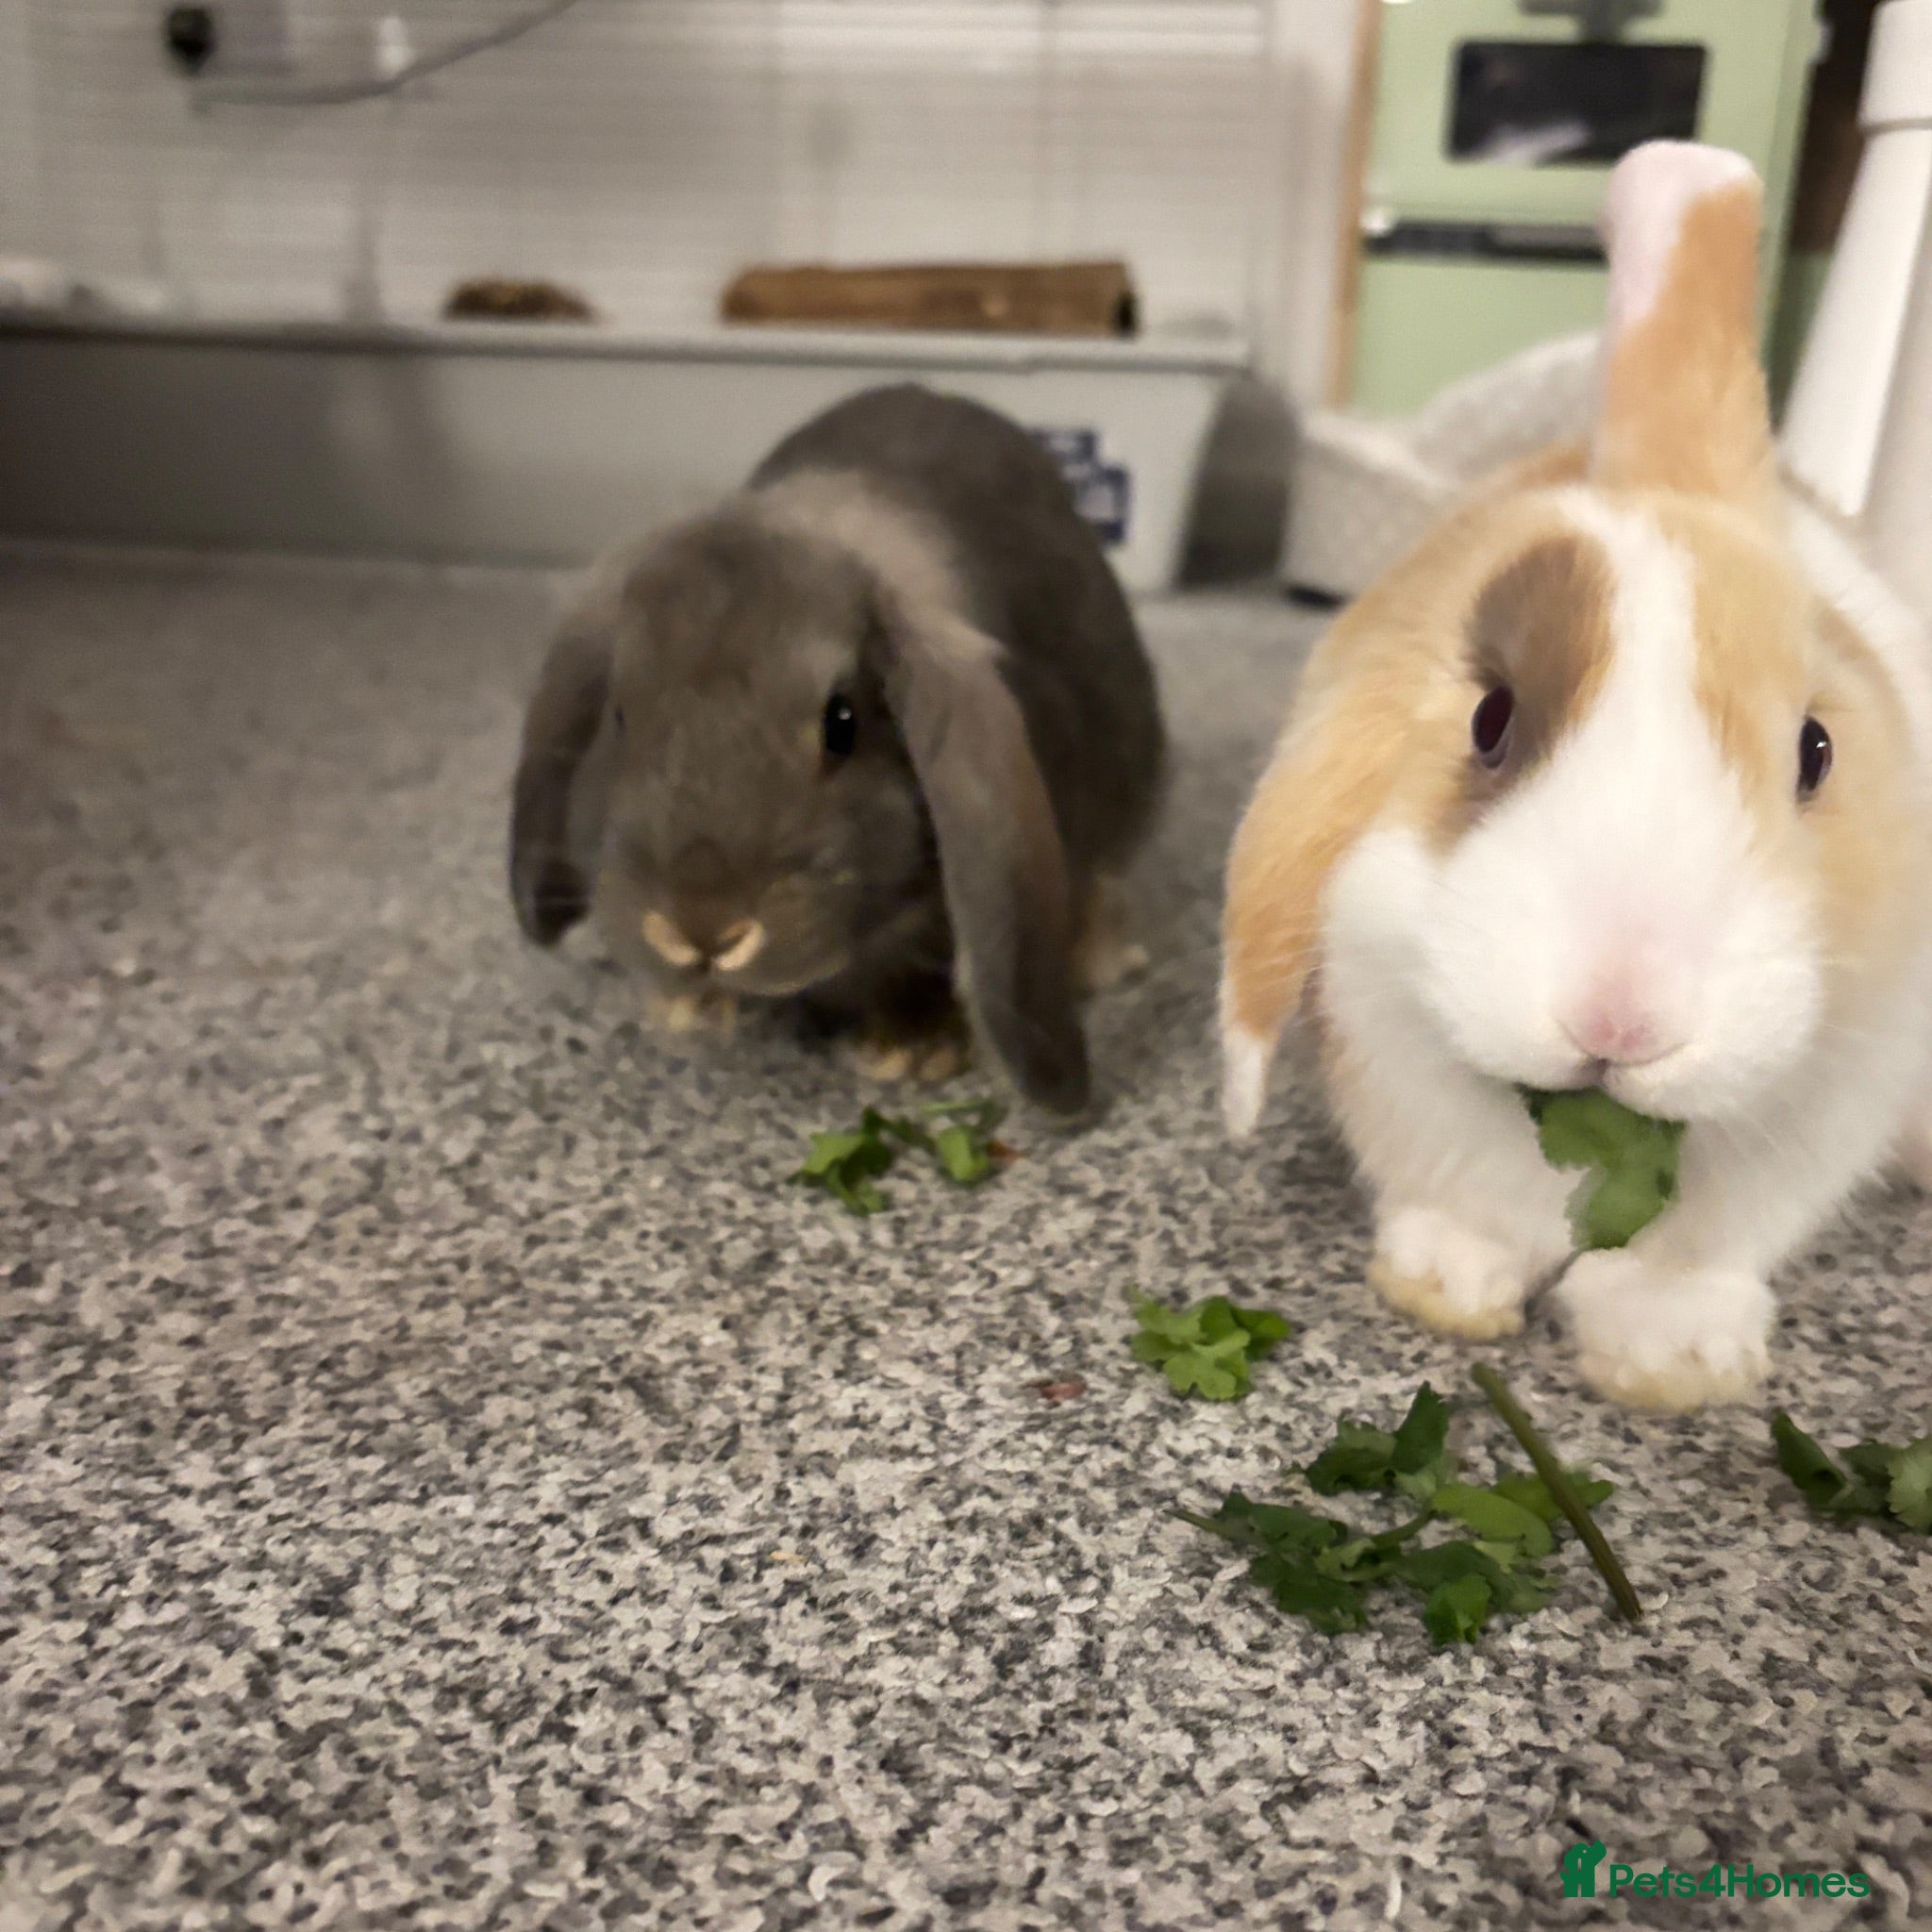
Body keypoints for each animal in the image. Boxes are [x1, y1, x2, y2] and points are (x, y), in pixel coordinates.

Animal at [1219, 142, 1932, 1412]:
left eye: (1814, 750)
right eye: (1490, 719)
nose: (1620, 1014)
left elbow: (1688, 1264)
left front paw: (1670, 1364)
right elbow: (1460, 1216)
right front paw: (1443, 1288)